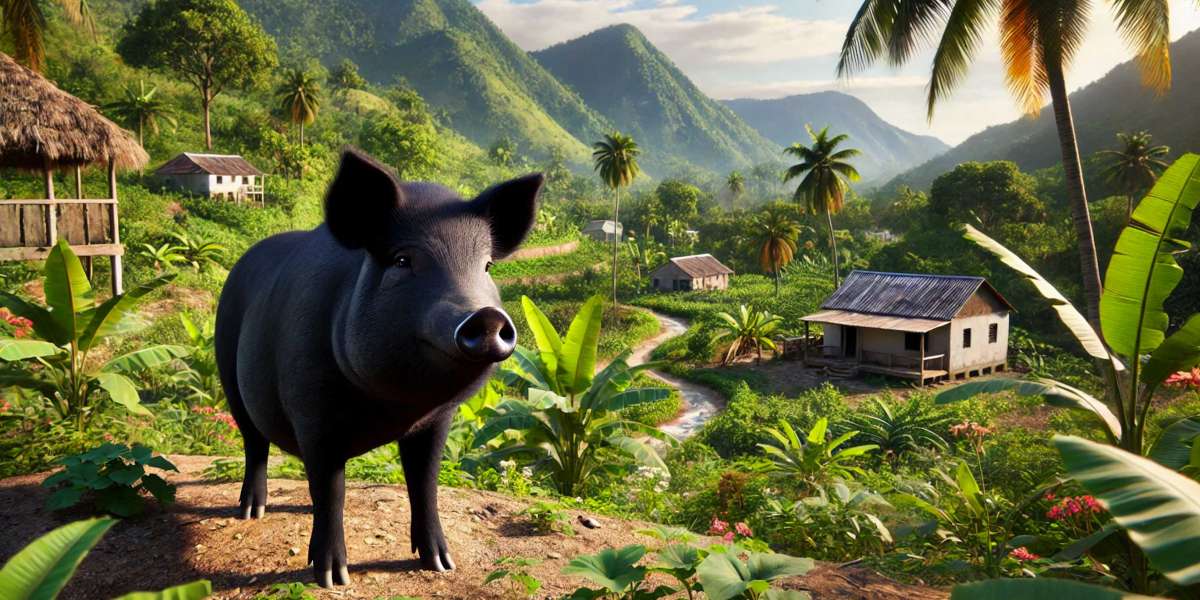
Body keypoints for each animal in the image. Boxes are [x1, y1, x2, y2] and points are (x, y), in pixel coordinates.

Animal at [214, 148, 542, 587]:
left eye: (487, 266)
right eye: (403, 261)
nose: (486, 316)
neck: (394, 409)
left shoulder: (437, 421)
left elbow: (424, 483)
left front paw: (442, 564)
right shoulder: (312, 413)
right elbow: (331, 488)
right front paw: (333, 579)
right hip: (228, 375)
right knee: (255, 445)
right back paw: (251, 511)